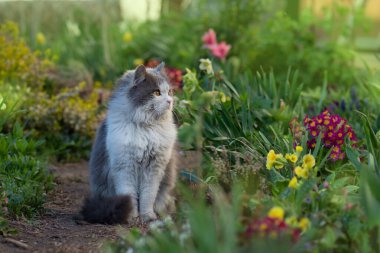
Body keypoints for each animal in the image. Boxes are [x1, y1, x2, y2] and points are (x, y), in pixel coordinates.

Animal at [81, 62, 177, 223]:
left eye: (169, 92)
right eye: (157, 93)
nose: (170, 101)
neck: (145, 127)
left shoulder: (154, 168)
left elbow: (148, 196)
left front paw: (147, 216)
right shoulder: (125, 166)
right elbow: (130, 195)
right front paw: (132, 217)